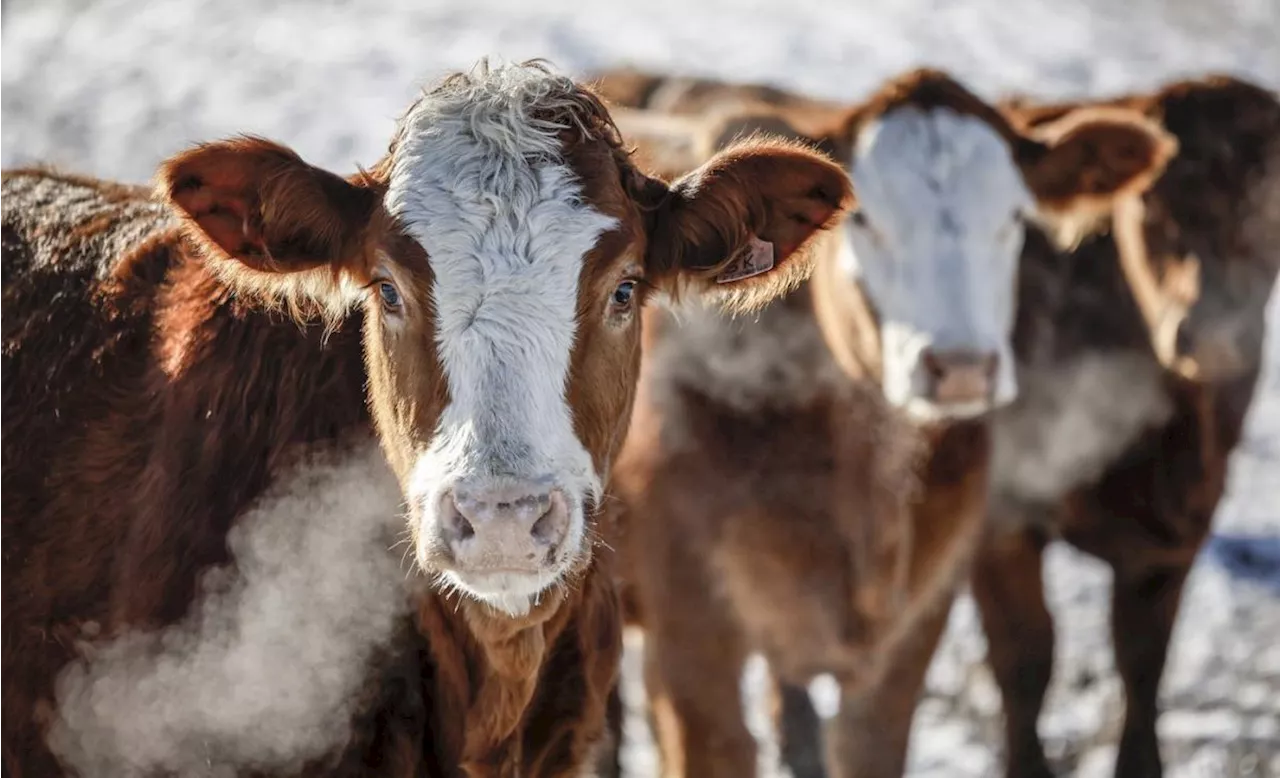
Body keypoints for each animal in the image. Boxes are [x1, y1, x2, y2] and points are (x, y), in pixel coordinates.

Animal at [967, 74, 1280, 778]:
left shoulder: (1175, 533)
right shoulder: (1000, 519)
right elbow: (1026, 661)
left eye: (1273, 207)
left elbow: (1142, 664)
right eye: (1150, 207)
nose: (1212, 330)